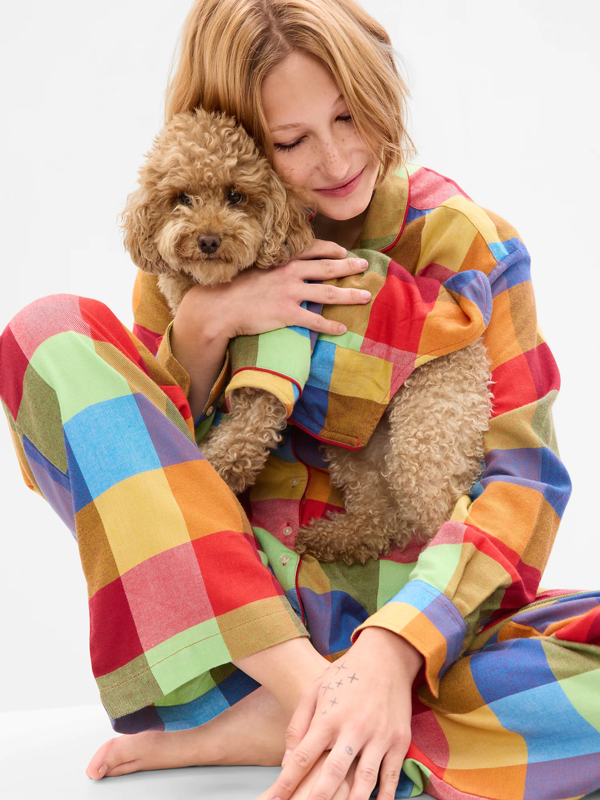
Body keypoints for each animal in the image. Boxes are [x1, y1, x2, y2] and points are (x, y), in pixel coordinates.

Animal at [118, 106, 492, 564]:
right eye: (181, 198)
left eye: (235, 196)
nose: (208, 239)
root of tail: (476, 349)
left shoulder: (273, 364)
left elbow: (233, 449)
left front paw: (201, 480)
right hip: (356, 439)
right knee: (382, 515)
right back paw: (337, 538)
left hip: (427, 429)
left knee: (446, 510)